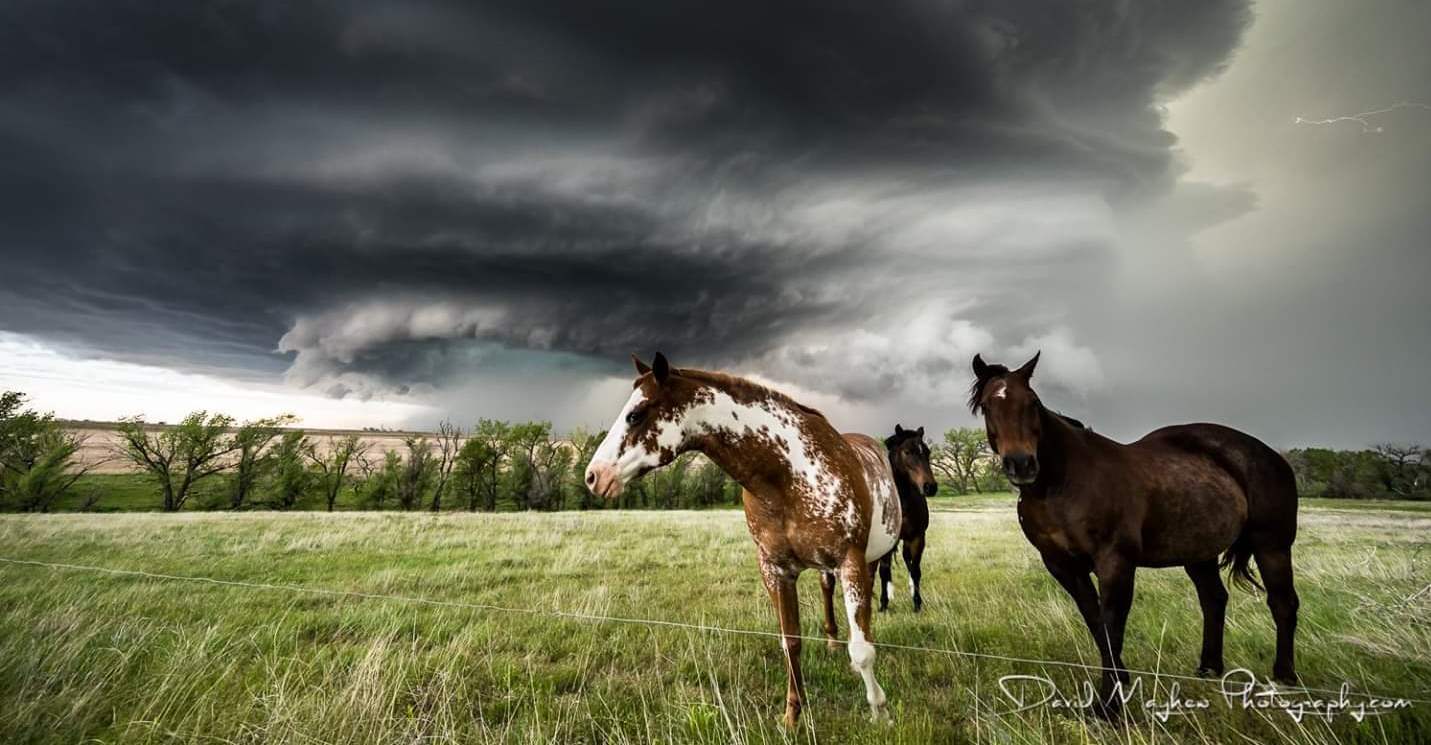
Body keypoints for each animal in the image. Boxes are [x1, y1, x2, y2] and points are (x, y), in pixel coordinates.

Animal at [584, 353, 902, 725]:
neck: (787, 476)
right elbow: (790, 642)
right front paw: (792, 716)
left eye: (636, 414)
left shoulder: (850, 560)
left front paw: (880, 712)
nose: (593, 476)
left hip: (868, 560)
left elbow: (862, 649)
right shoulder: (775, 570)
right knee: (827, 592)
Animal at [969, 352, 1300, 715]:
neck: (1062, 483)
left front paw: (1108, 705)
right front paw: (1120, 681)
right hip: (1199, 554)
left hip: (1272, 546)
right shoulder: (1061, 565)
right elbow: (1095, 619)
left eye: (1032, 402)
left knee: (1283, 603)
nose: (1021, 464)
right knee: (1214, 600)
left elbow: (1113, 620)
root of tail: (1270, 455)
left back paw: (1285, 678)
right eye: (987, 405)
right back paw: (1209, 669)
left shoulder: (1116, 561)